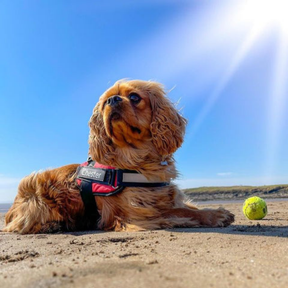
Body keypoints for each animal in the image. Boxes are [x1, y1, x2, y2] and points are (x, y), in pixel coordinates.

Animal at [2, 79, 234, 234]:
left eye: (134, 97)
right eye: (105, 102)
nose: (112, 100)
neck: (137, 159)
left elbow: (188, 207)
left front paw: (214, 210)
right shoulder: (137, 214)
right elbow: (184, 213)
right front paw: (217, 215)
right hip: (34, 189)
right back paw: (51, 225)